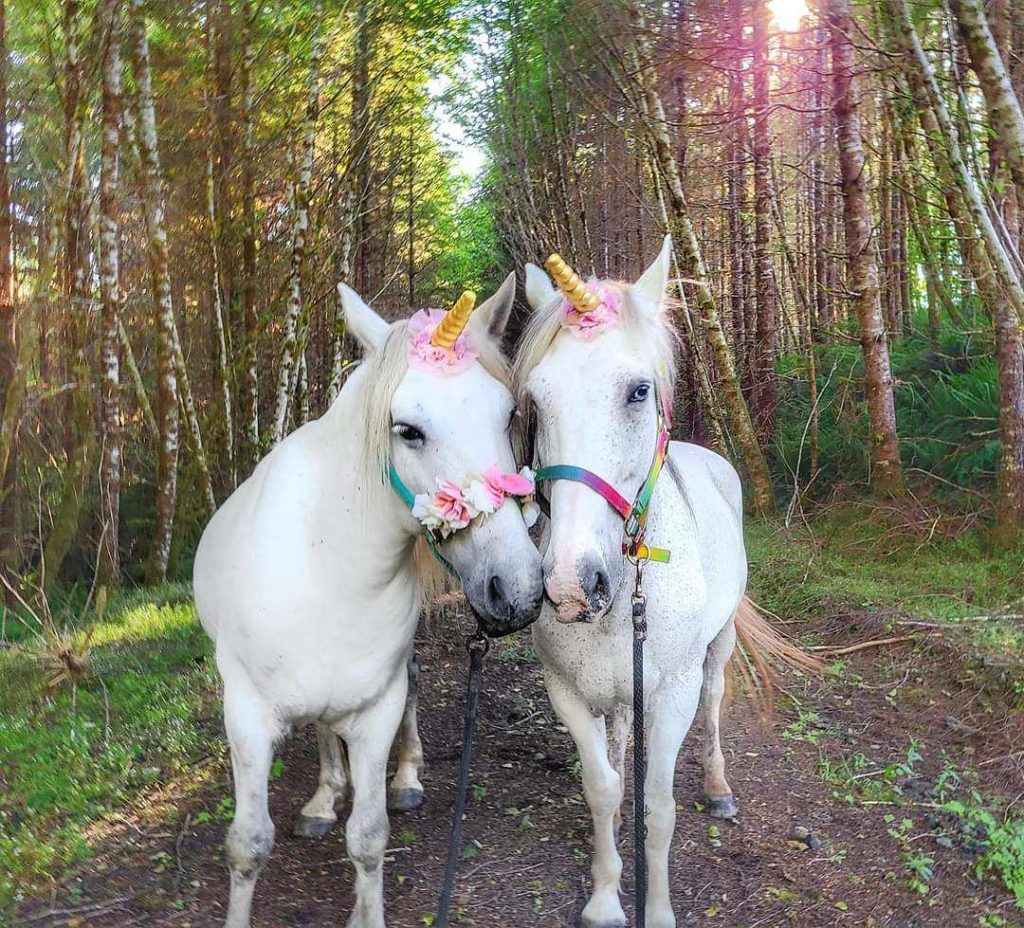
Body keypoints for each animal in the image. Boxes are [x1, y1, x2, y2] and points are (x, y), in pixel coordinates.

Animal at [192, 276, 544, 925]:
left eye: (508, 414)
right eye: (407, 430)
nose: (518, 587)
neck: (326, 564)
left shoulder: (377, 710)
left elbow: (370, 836)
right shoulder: (247, 717)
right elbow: (248, 843)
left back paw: (404, 778)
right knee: (322, 731)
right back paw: (322, 798)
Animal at [520, 240, 806, 925]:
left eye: (638, 390)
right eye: (537, 401)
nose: (571, 584)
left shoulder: (672, 696)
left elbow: (660, 806)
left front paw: (657, 906)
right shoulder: (569, 695)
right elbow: (601, 788)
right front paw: (604, 897)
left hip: (717, 649)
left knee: (715, 698)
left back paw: (718, 787)